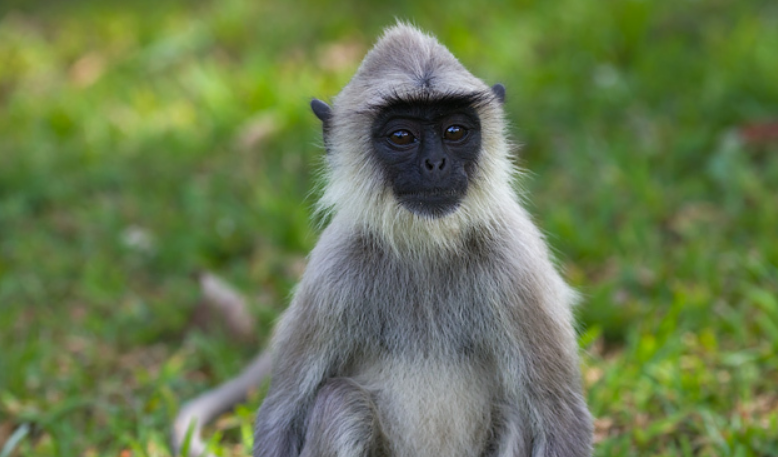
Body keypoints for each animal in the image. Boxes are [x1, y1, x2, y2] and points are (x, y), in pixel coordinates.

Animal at [173, 23, 592, 456]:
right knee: (340, 401)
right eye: (402, 136)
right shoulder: (334, 270)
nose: (436, 163)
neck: (426, 246)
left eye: (454, 131)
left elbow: (560, 417)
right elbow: (282, 414)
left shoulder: (516, 264)